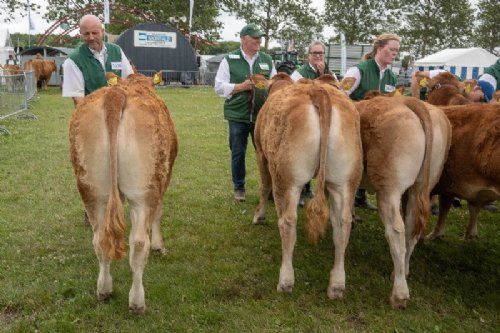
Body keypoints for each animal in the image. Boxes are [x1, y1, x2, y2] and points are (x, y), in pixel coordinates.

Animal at [68, 72, 178, 312]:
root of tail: (116, 94)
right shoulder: (163, 179)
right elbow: (159, 214)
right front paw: (159, 246)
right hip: (143, 192)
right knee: (138, 243)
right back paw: (137, 301)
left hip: (92, 191)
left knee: (100, 239)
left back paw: (104, 289)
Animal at [252, 78, 362, 300]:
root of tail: (317, 91)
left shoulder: (260, 152)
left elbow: (264, 186)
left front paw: (259, 216)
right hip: (345, 180)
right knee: (342, 223)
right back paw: (337, 285)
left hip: (286, 177)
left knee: (287, 221)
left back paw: (286, 280)